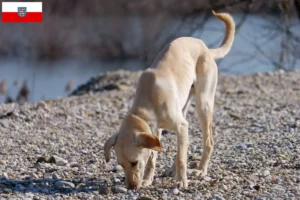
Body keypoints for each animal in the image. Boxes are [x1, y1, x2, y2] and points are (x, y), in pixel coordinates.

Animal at [104, 10, 236, 189]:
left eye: (134, 162)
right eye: (121, 165)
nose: (131, 187)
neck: (148, 101)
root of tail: (204, 46)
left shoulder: (180, 126)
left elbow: (181, 158)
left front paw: (181, 181)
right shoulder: (157, 131)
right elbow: (153, 158)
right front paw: (148, 179)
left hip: (203, 104)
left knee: (207, 142)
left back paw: (200, 170)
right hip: (184, 108)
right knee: (183, 146)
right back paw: (173, 170)